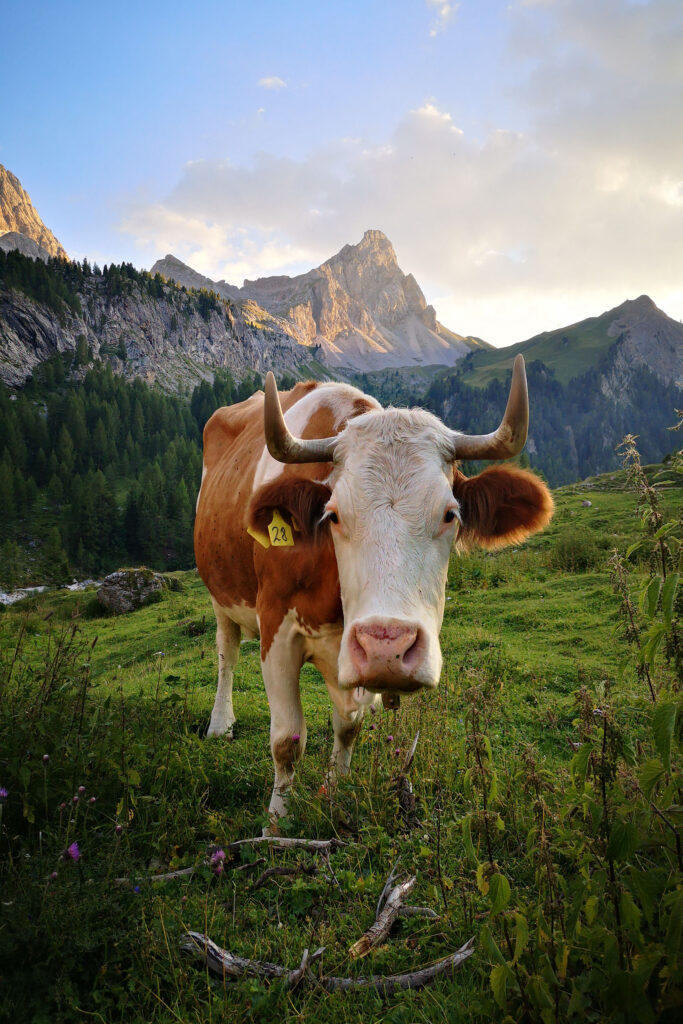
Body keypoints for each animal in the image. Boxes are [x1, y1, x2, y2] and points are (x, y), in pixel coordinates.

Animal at [194, 355, 553, 826]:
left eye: (451, 514)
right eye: (332, 515)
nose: (387, 647)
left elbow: (348, 726)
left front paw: (335, 791)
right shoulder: (276, 628)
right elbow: (286, 740)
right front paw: (277, 821)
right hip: (221, 595)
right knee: (226, 653)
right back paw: (220, 723)